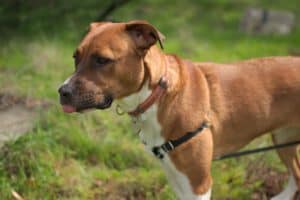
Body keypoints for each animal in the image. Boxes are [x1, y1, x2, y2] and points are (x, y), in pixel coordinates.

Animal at [58, 21, 300, 199]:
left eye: (102, 60)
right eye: (75, 57)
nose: (62, 92)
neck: (158, 92)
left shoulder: (198, 182)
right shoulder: (175, 173)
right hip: (283, 139)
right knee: (296, 177)